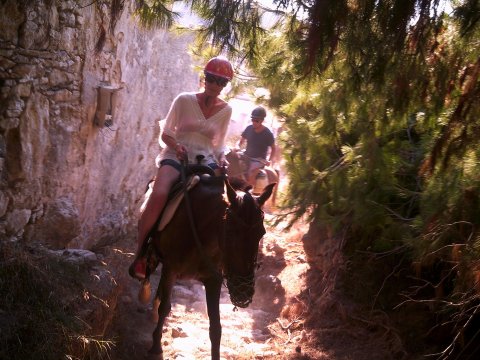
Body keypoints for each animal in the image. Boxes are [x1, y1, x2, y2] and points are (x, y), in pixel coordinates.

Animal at [142, 167, 274, 360]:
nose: (243, 292)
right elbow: (166, 308)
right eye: (230, 230)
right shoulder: (170, 268)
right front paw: (156, 347)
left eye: (261, 232)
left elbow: (216, 327)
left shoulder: (213, 280)